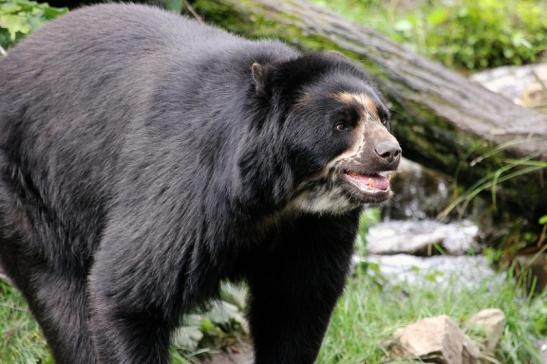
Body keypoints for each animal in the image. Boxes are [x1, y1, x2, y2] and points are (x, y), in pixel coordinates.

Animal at [0, 3, 402, 364]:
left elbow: (296, 303)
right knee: (61, 293)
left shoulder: (314, 227)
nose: (391, 153)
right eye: (342, 124)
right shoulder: (188, 181)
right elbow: (130, 292)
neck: (279, 195)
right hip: (31, 191)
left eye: (383, 117)